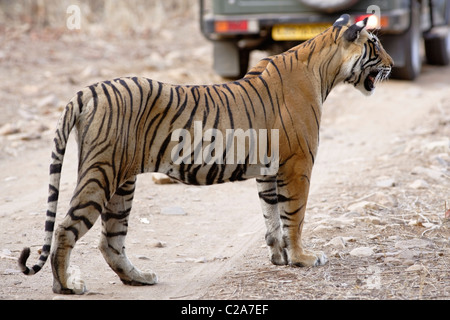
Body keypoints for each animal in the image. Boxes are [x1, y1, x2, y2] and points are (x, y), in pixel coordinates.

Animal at [17, 15, 392, 296]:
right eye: (374, 45)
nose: (390, 64)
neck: (324, 69)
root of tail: (88, 90)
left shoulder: (269, 170)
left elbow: (271, 217)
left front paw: (280, 257)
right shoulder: (297, 165)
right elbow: (294, 217)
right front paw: (303, 258)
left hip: (122, 183)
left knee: (111, 240)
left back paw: (138, 278)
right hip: (101, 173)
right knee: (66, 229)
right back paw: (66, 286)